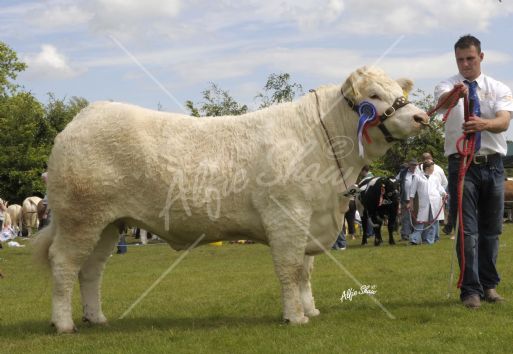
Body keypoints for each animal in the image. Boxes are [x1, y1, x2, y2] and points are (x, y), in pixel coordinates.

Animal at [35, 65, 428, 332]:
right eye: (372, 96)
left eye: (398, 89)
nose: (421, 116)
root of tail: (85, 116)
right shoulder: (287, 216)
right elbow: (290, 269)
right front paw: (295, 317)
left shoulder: (309, 219)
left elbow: (305, 271)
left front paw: (310, 309)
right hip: (80, 218)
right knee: (64, 265)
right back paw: (64, 323)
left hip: (108, 223)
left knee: (91, 270)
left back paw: (96, 317)